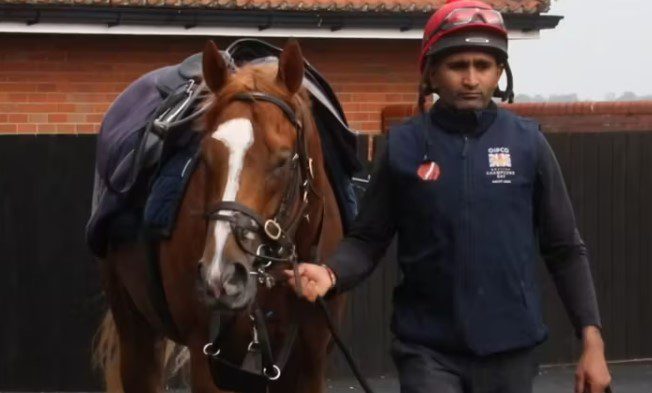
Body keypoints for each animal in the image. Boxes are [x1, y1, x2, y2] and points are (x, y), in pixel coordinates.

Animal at [93, 39, 346, 392]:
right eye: (206, 156)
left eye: (284, 161)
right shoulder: (208, 360)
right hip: (134, 328)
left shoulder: (310, 362)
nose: (221, 276)